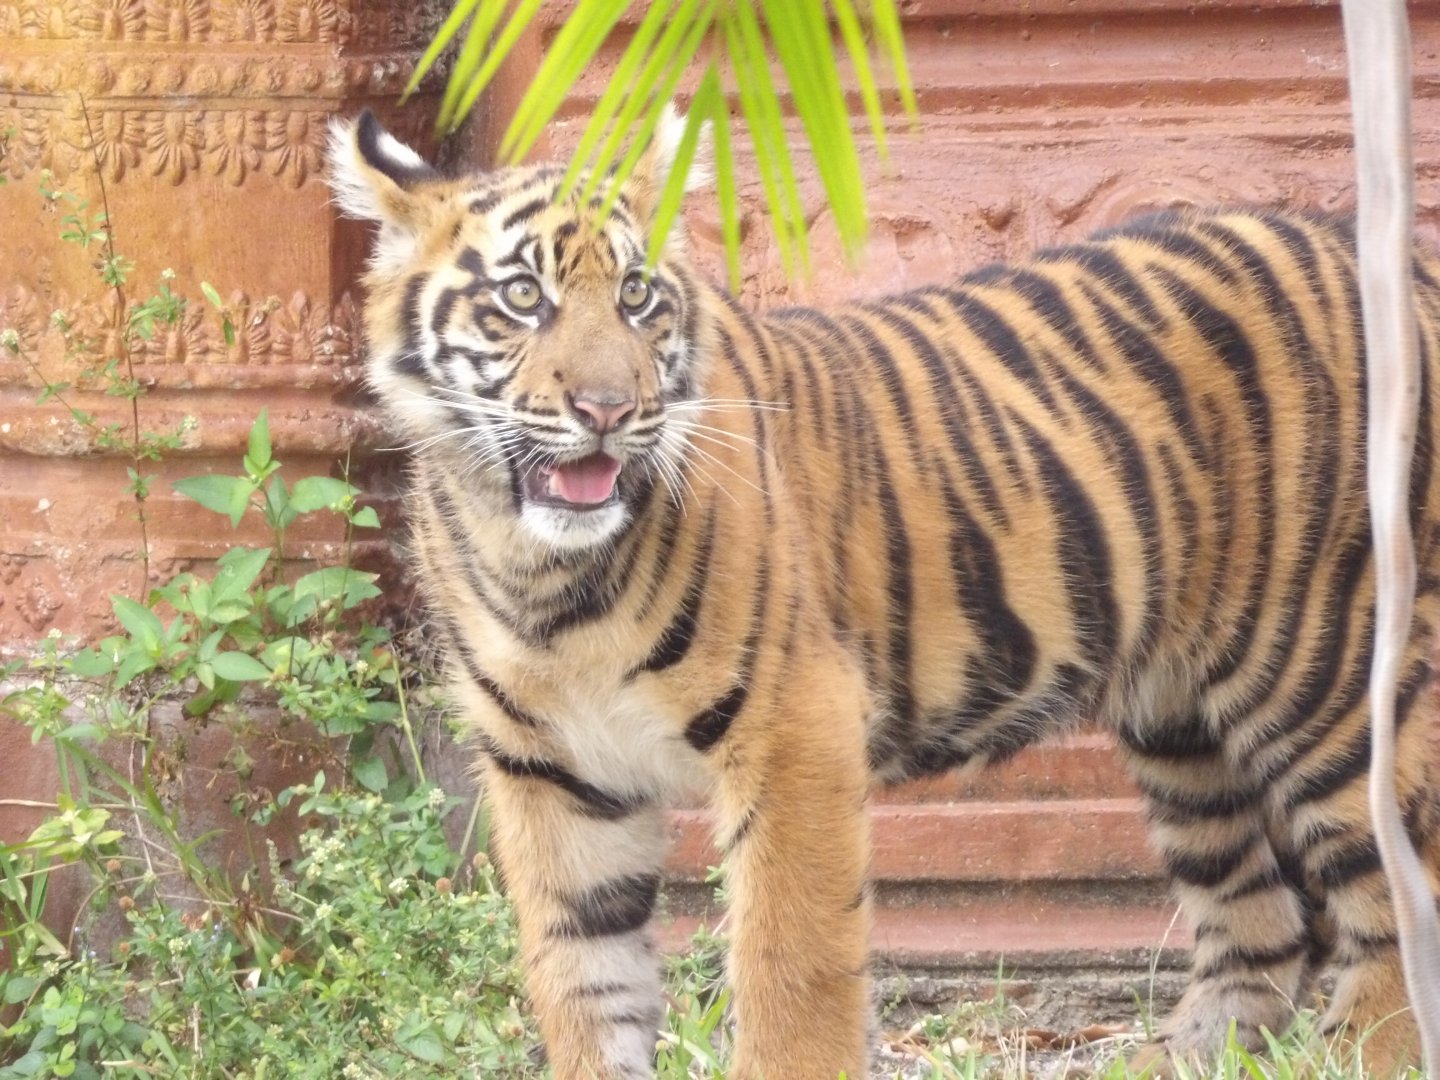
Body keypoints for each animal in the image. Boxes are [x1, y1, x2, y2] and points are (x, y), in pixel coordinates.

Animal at [326, 106, 1440, 1080]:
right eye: (522, 298)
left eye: (639, 297)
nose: (610, 409)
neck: (538, 569)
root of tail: (1387, 253)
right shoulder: (551, 772)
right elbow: (582, 982)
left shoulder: (796, 727)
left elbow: (789, 968)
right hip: (1180, 719)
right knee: (1258, 918)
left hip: (1331, 666)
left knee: (1396, 895)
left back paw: (1368, 1055)